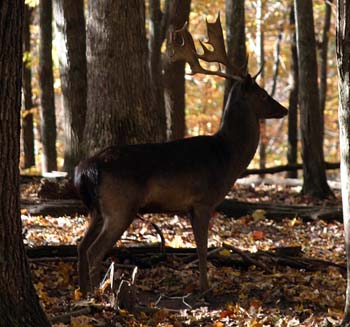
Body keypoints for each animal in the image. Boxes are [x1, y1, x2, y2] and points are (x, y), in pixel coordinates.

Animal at [74, 16, 288, 298]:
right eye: (262, 94)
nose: (284, 109)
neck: (228, 157)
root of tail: (86, 169)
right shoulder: (203, 201)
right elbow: (202, 249)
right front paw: (205, 290)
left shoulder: (188, 208)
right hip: (119, 206)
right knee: (94, 251)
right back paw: (97, 293)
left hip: (95, 209)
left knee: (80, 246)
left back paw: (82, 292)